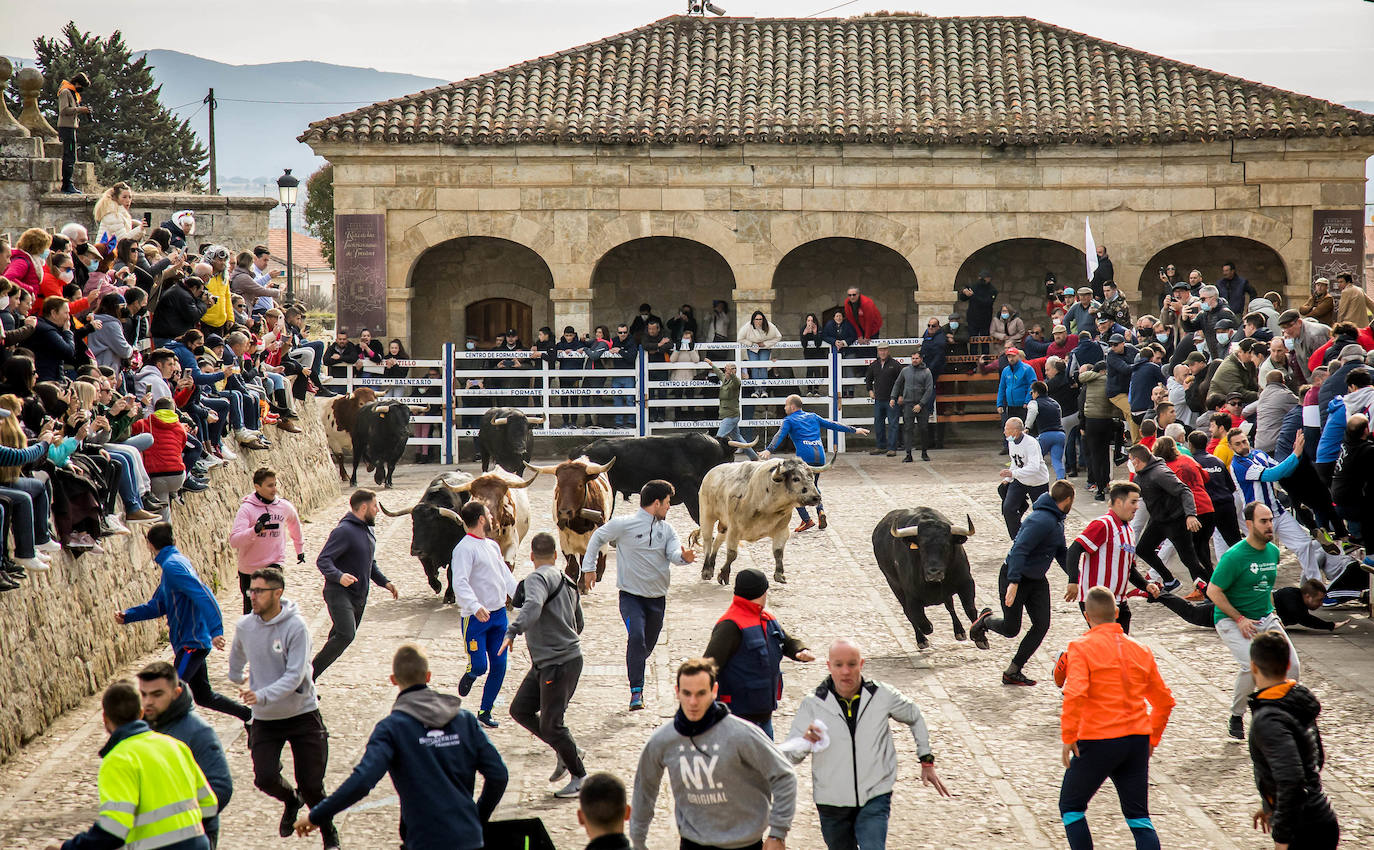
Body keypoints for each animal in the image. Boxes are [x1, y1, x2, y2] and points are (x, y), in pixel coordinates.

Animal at [697, 455, 824, 587]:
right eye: (796, 479)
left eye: (812, 477)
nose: (816, 497)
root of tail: (711, 473)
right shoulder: (734, 530)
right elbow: (732, 554)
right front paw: (724, 574)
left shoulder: (782, 530)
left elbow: (778, 552)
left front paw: (779, 574)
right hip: (706, 516)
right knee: (707, 542)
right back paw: (706, 570)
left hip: (724, 525)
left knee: (717, 541)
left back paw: (711, 566)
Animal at [873, 505, 983, 650]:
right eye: (922, 547)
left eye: (946, 546)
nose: (934, 572)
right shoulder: (911, 596)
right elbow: (919, 619)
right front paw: (928, 628)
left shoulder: (966, 583)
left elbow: (970, 609)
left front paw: (980, 639)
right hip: (895, 586)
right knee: (909, 613)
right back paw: (921, 640)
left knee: (950, 605)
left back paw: (959, 631)